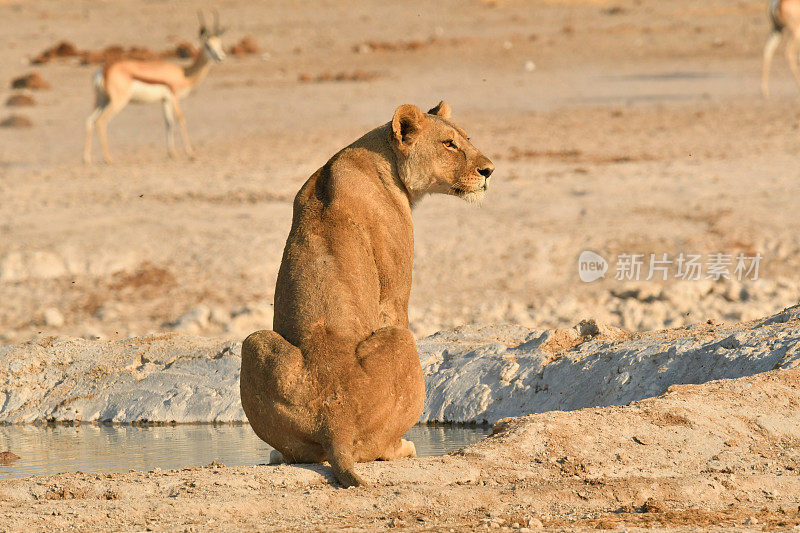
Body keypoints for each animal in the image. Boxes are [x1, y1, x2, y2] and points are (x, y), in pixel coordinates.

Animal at [85, 10, 227, 164]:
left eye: (219, 43)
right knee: (101, 121)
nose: (221, 58)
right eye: (207, 45)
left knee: (90, 121)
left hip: (102, 101)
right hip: (118, 102)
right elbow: (181, 119)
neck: (184, 73)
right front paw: (191, 154)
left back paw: (86, 159)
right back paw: (108, 158)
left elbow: (169, 123)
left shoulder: (165, 100)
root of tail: (105, 71)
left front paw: (172, 153)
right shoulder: (174, 97)